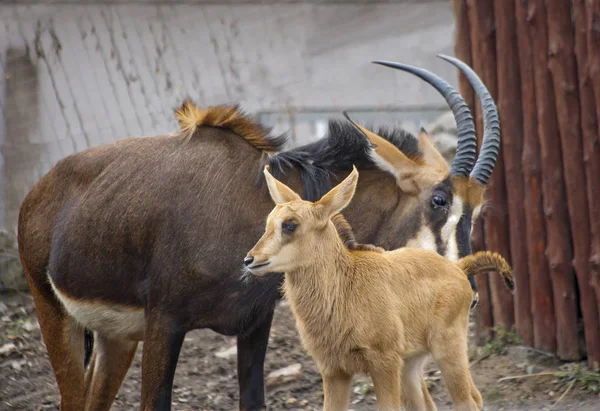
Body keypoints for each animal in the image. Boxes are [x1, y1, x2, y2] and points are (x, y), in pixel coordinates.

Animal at [245, 166, 516, 410]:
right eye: (269, 223)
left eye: (290, 224)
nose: (250, 260)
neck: (345, 287)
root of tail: (459, 268)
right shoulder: (334, 370)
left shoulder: (383, 364)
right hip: (410, 364)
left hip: (448, 349)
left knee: (468, 400)